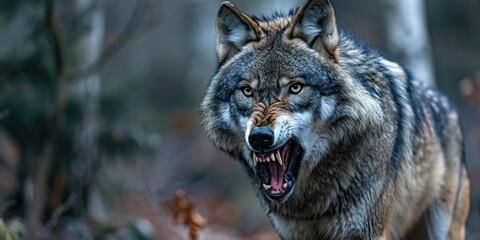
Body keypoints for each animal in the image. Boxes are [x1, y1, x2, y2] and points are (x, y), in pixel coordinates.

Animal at [201, 0, 470, 238]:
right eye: (247, 91)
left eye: (295, 88)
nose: (259, 137)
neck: (311, 204)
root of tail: (449, 109)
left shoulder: (366, 232)